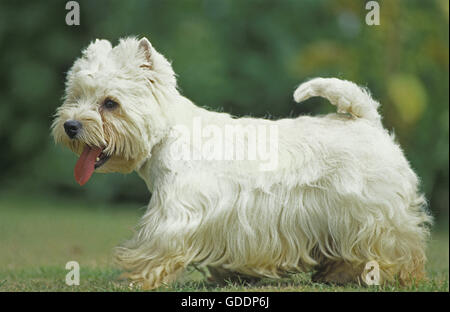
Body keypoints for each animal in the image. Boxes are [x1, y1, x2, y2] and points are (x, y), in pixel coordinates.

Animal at [51, 37, 432, 290]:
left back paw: (397, 275)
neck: (167, 133)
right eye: (75, 97)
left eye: (110, 103)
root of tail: (367, 120)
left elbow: (156, 249)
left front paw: (134, 278)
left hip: (373, 213)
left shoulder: (176, 214)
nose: (70, 126)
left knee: (400, 246)